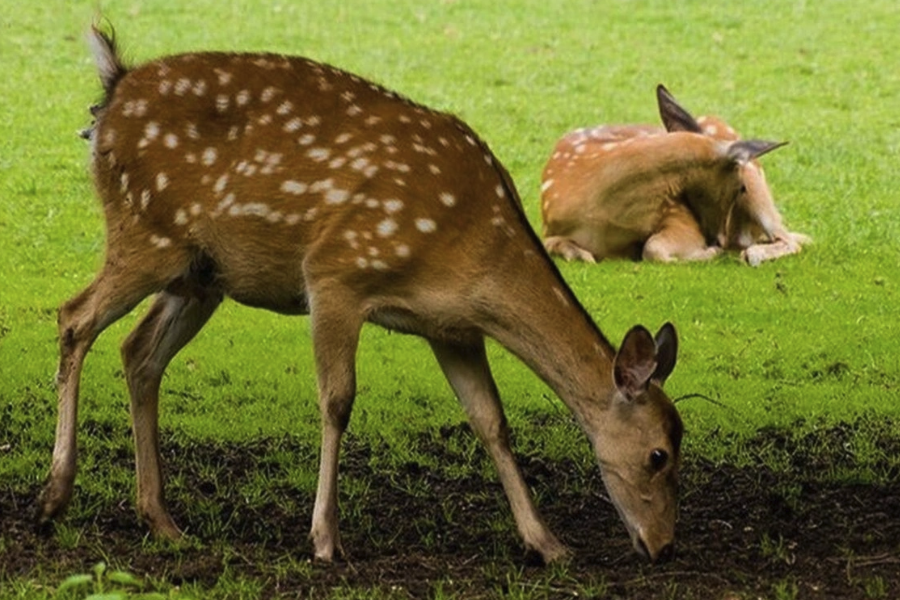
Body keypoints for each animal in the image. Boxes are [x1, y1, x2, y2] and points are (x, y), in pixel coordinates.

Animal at [35, 25, 684, 564]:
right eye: (658, 455)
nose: (663, 547)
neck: (476, 252)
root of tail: (112, 90)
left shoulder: (453, 328)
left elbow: (491, 422)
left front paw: (546, 543)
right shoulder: (335, 274)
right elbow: (338, 401)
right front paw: (325, 538)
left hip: (201, 273)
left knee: (138, 352)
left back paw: (162, 520)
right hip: (147, 233)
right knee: (74, 317)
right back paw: (54, 497)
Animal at [540, 84, 808, 264]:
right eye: (738, 188)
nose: (717, 240)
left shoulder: (677, 215)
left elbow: (653, 248)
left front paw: (708, 253)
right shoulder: (548, 229)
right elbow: (554, 244)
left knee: (790, 239)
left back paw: (751, 253)